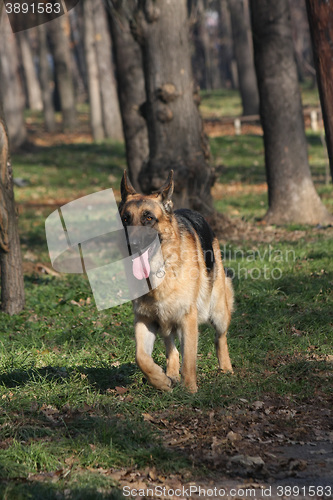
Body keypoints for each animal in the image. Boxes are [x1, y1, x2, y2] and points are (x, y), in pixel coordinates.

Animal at [118, 170, 232, 392]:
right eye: (126, 219)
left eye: (148, 218)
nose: (131, 244)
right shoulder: (144, 319)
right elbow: (141, 357)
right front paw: (160, 381)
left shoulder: (188, 318)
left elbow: (189, 359)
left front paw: (190, 390)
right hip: (164, 320)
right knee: (172, 348)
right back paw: (170, 374)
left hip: (218, 311)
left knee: (220, 338)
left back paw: (226, 368)